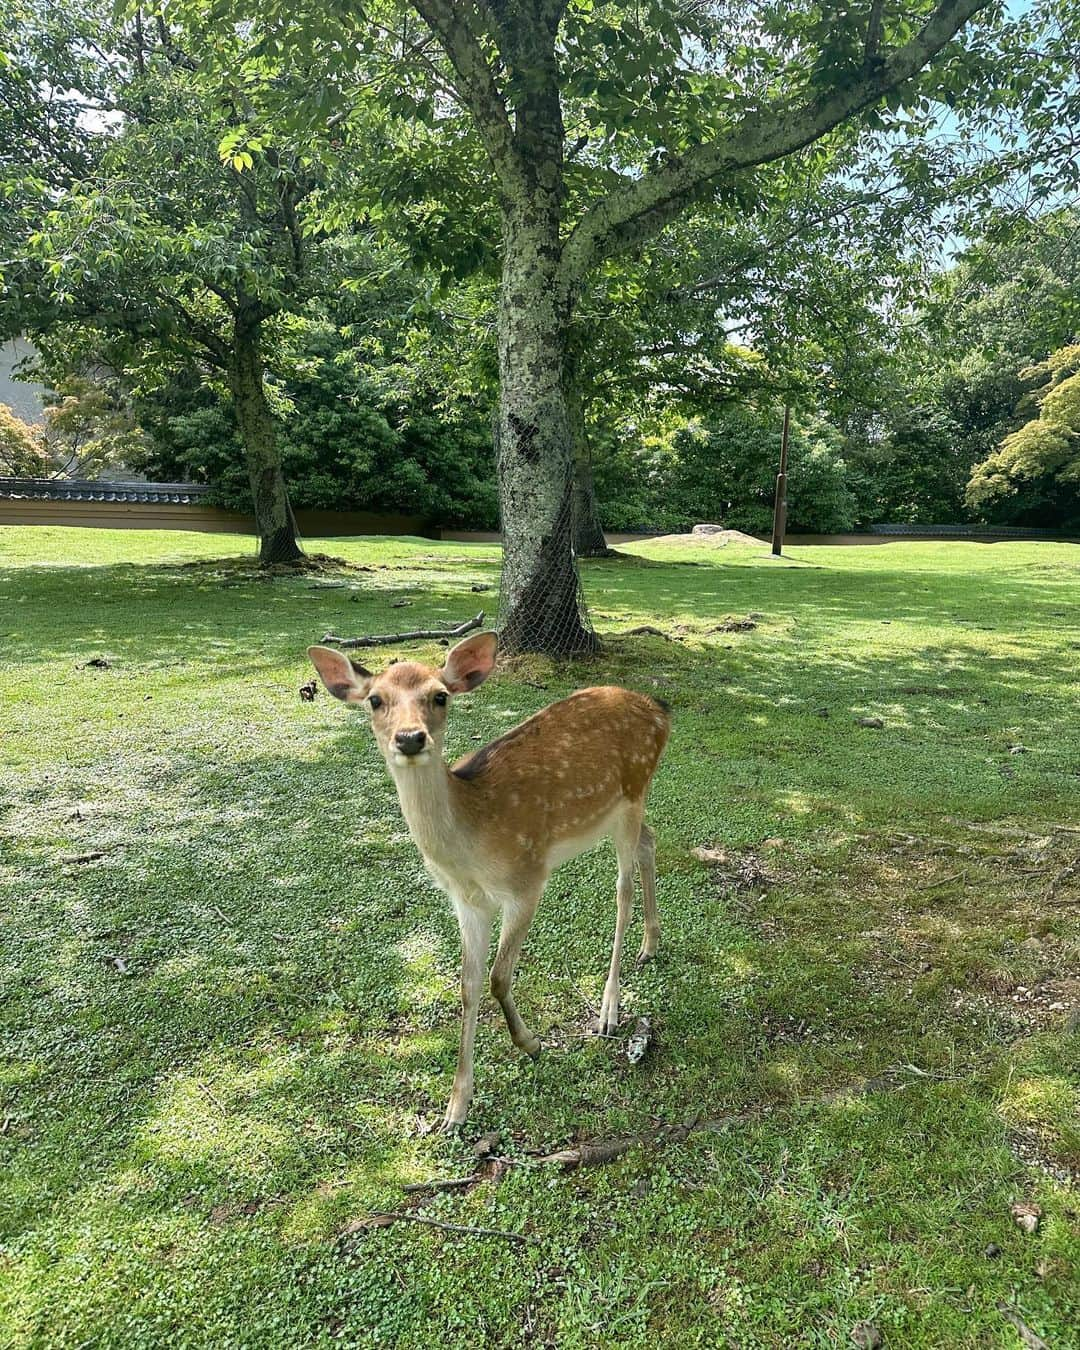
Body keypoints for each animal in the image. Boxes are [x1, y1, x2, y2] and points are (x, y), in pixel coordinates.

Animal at [307, 631, 669, 1128]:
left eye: (439, 696)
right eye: (375, 700)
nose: (410, 738)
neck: (472, 845)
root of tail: (660, 708)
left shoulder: (526, 880)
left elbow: (499, 977)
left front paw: (531, 1043)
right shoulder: (466, 901)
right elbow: (468, 984)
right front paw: (455, 1108)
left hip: (633, 792)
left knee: (623, 891)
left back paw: (609, 1010)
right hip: (619, 813)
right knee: (651, 843)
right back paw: (650, 945)